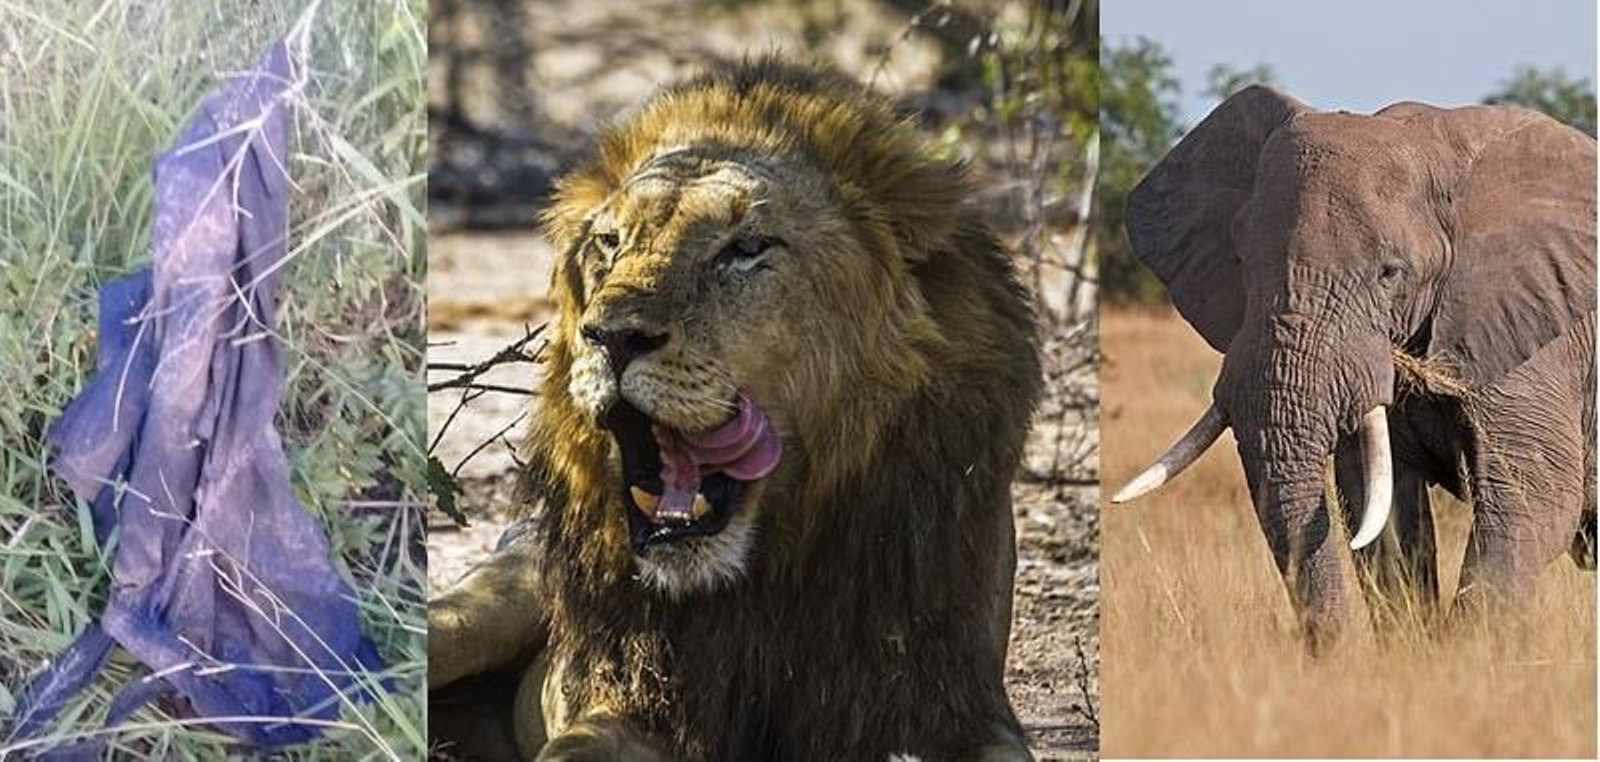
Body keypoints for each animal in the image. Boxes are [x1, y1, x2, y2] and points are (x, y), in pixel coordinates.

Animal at [428, 58, 1043, 761]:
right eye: (608, 242)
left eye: (746, 249)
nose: (610, 336)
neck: (766, 571)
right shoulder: (628, 698)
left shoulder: (958, 704)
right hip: (488, 605)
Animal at [1112, 85, 1596, 653]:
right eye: (1242, 263)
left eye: (1391, 273)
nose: (1325, 654)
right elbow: (1380, 510)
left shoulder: (1533, 335)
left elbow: (1535, 498)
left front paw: (1464, 657)